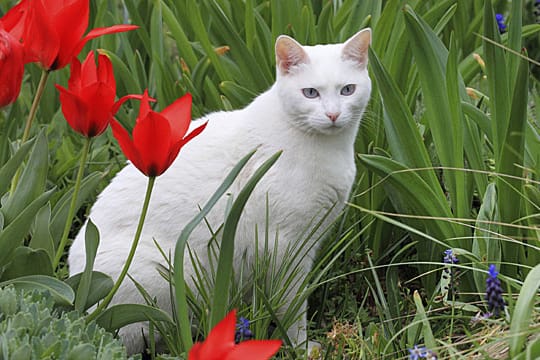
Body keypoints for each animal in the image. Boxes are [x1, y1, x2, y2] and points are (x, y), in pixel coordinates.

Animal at [67, 28, 372, 354]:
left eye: (347, 90)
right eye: (310, 93)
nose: (333, 115)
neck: (328, 148)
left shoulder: (307, 242)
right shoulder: (285, 247)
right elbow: (292, 306)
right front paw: (300, 347)